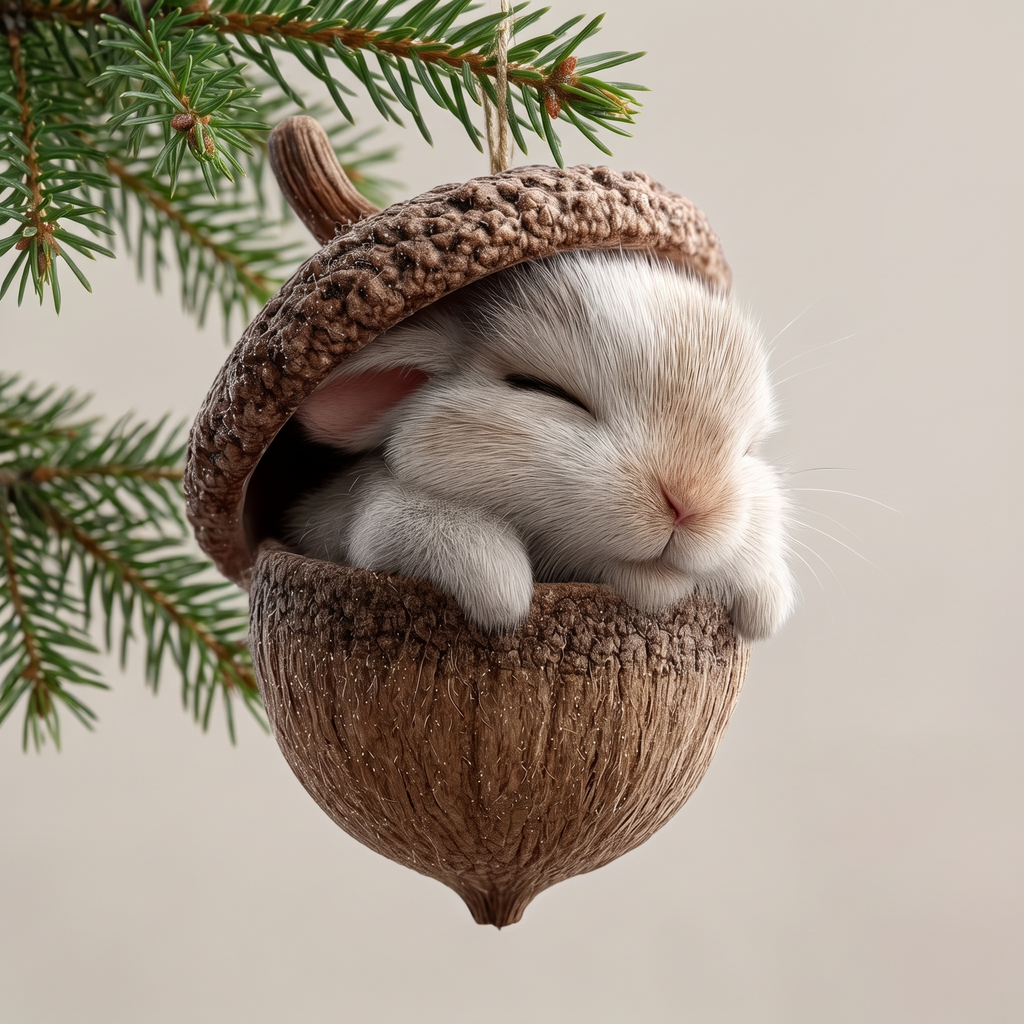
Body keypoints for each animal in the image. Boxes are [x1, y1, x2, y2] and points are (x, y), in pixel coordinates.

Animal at [282, 248, 794, 641]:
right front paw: (500, 590)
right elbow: (404, 522)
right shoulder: (368, 517)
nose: (690, 504)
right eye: (543, 389)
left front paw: (763, 594)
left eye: (748, 449)